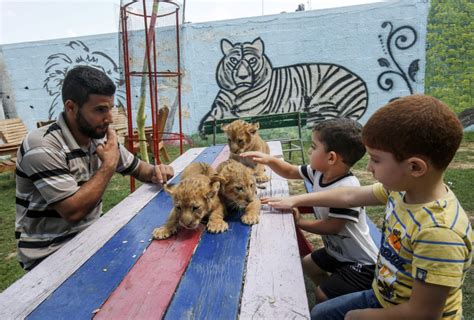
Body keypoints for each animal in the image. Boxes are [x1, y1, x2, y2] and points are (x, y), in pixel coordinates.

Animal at [198, 37, 368, 131]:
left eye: (252, 60)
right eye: (233, 60)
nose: (242, 77)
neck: (237, 91)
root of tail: (360, 82)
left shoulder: (249, 111)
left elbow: (233, 120)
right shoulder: (219, 106)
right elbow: (210, 117)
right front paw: (203, 129)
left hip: (325, 105)